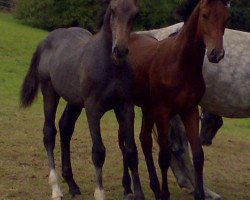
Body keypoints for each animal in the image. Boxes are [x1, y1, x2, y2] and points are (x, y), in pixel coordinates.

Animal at [124, 0, 229, 200]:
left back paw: (154, 187)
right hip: (128, 105)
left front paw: (199, 194)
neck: (180, 65)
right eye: (205, 15)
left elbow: (198, 154)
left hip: (147, 109)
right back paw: (131, 189)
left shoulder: (190, 111)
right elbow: (165, 155)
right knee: (127, 142)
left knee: (144, 140)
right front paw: (165, 193)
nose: (216, 54)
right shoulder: (163, 112)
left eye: (226, 17)